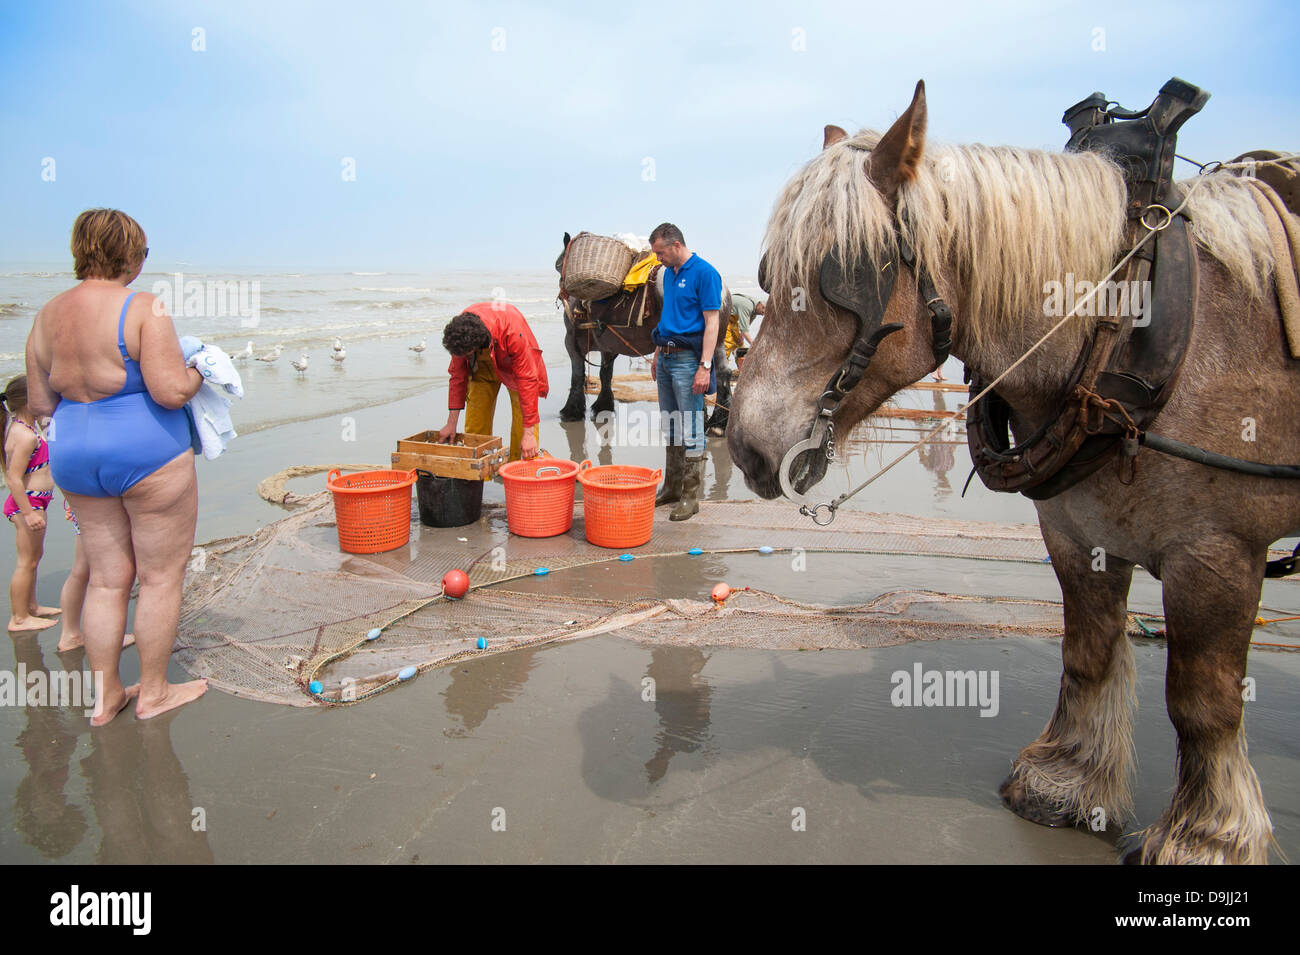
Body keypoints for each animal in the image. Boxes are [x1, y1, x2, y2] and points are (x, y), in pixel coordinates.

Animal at [554, 233, 733, 433]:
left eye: (559, 265)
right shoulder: (608, 347)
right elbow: (605, 374)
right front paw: (603, 406)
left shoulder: (571, 343)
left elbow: (577, 375)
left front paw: (571, 411)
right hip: (716, 342)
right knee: (723, 374)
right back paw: (718, 423)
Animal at [727, 80, 1296, 864]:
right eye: (766, 278)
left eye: (841, 275)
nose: (745, 444)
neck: (1122, 321)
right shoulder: (1077, 533)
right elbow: (1088, 652)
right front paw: (1069, 781)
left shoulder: (1219, 552)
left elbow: (1202, 700)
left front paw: (1205, 835)